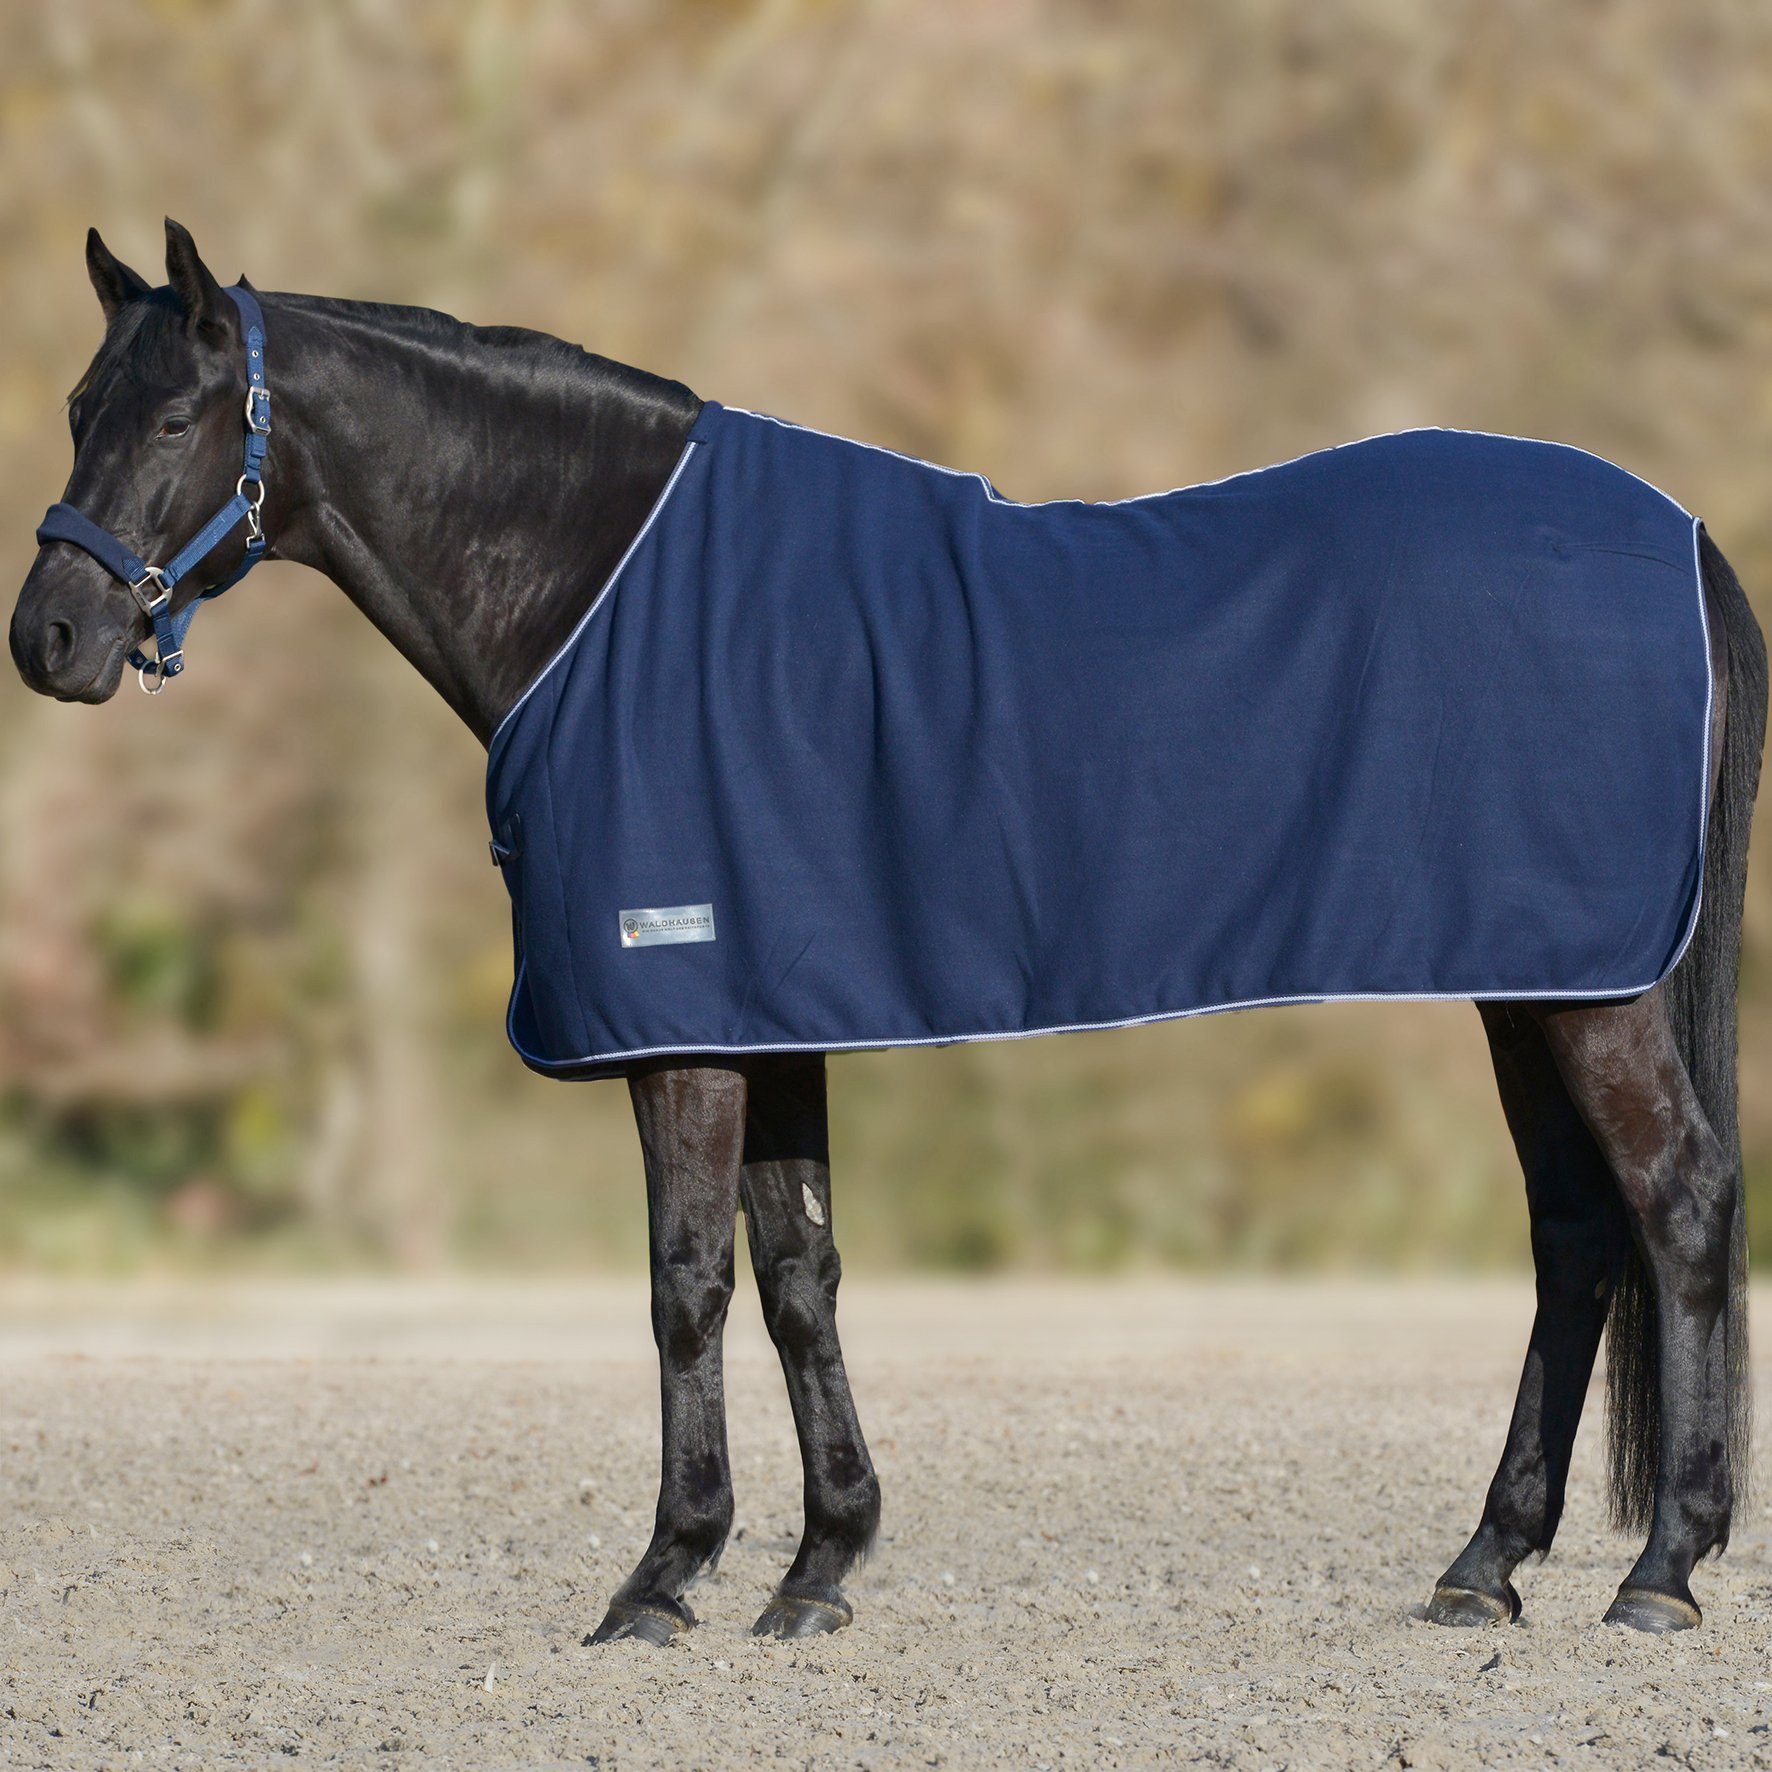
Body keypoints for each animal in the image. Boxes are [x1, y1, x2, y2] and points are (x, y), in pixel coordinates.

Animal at [10, 220, 1766, 1643]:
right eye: (79, 407)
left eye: (174, 417)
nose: (52, 637)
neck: (604, 593)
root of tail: (1674, 531)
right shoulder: (766, 1014)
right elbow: (803, 1276)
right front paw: (818, 1568)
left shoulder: (684, 1029)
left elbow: (688, 1285)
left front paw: (665, 1577)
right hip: (1535, 980)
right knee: (1574, 1233)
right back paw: (1489, 1564)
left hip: (1587, 993)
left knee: (1676, 1205)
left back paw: (1661, 1571)